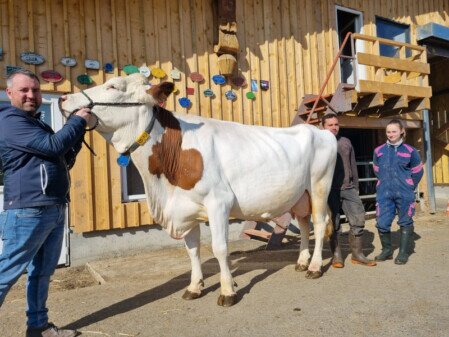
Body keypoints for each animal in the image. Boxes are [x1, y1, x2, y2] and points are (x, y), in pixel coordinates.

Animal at [59, 73, 334, 304]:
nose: (63, 98)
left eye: (113, 86)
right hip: (300, 195)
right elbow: (192, 251)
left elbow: (220, 248)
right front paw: (195, 287)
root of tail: (319, 131)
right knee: (305, 223)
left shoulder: (219, 203)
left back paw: (315, 267)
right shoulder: (184, 209)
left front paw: (227, 291)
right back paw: (302, 261)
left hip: (319, 185)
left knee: (319, 223)